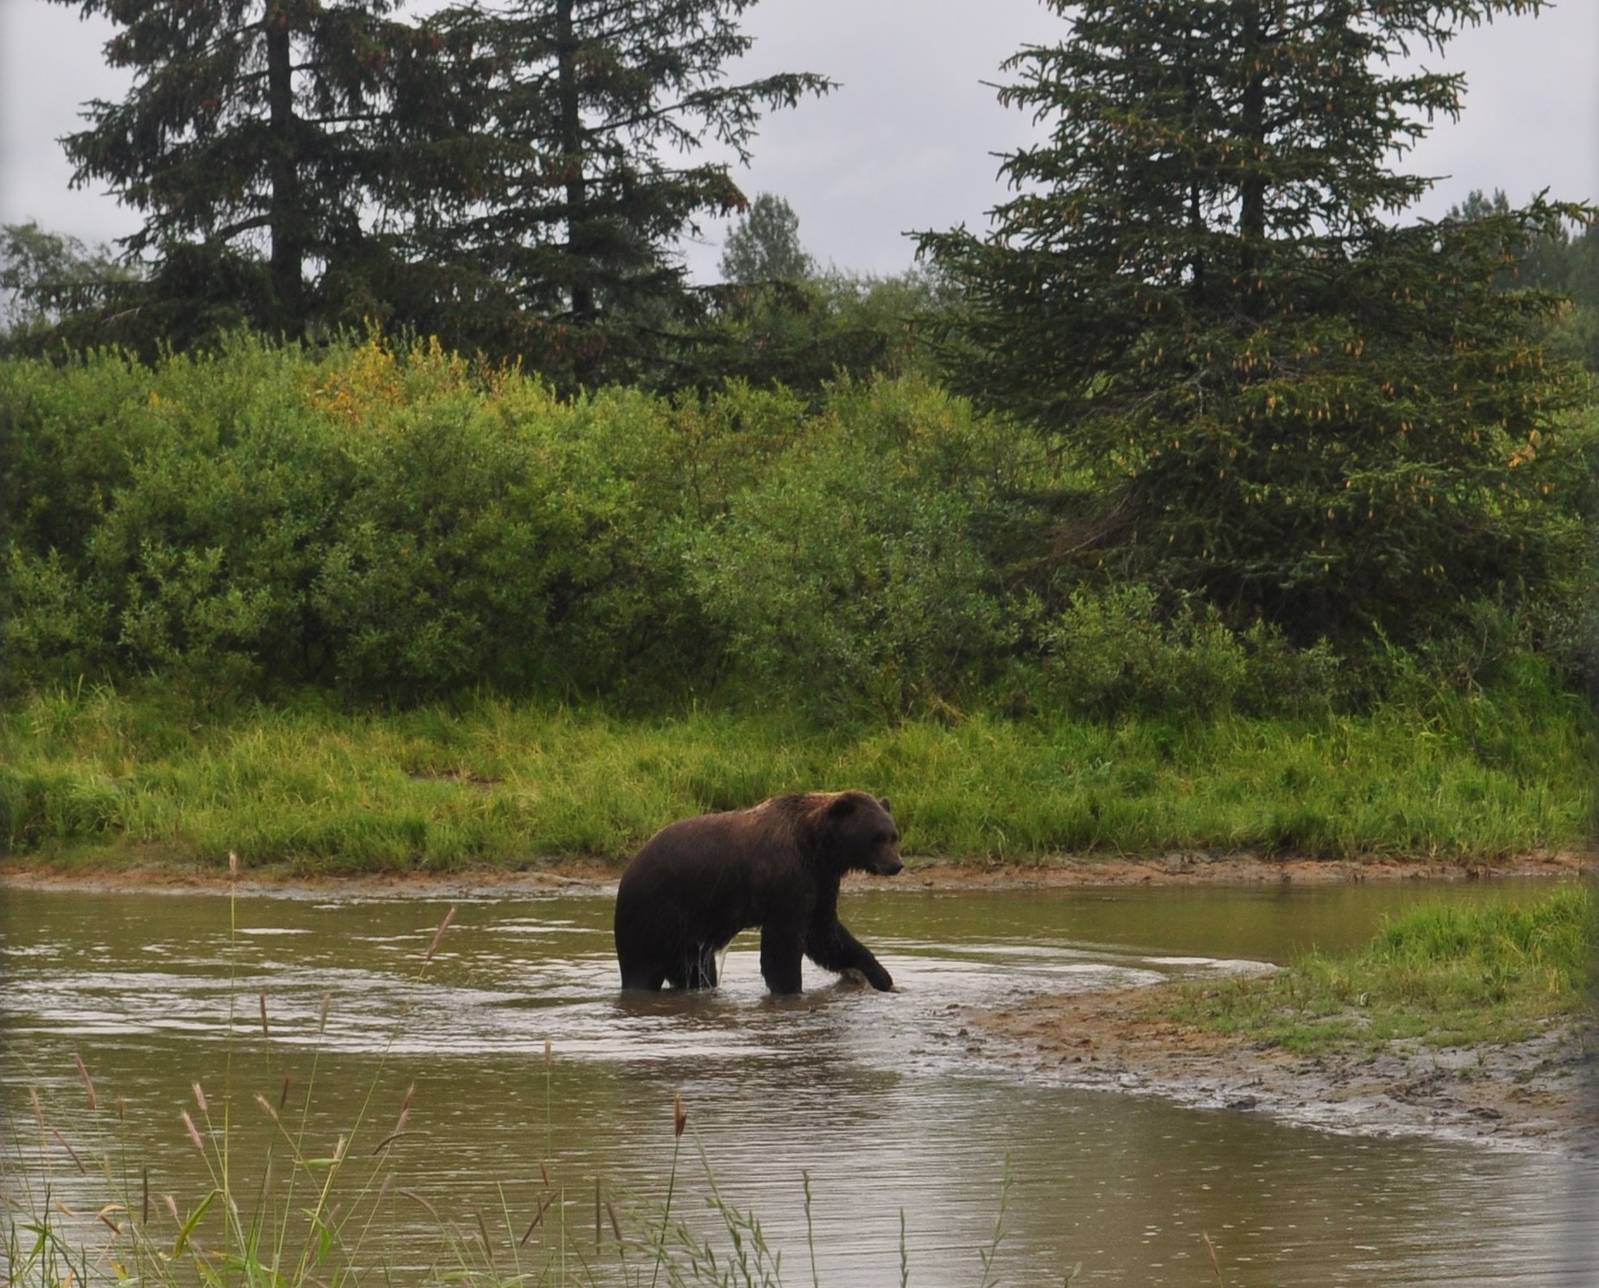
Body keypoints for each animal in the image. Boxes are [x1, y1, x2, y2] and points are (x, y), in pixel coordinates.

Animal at [613, 791, 903, 995]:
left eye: (893, 835)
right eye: (876, 837)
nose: (896, 864)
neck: (818, 846)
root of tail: (628, 871)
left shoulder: (821, 880)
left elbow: (826, 934)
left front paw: (881, 976)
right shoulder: (787, 877)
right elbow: (784, 943)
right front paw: (790, 989)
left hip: (689, 936)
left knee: (695, 971)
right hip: (656, 913)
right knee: (642, 967)